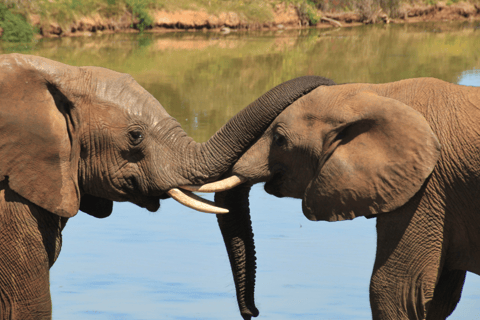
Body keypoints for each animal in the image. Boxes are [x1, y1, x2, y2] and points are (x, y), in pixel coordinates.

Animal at [194, 78, 480, 320]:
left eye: (279, 139)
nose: (252, 312)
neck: (380, 93)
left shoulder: (427, 191)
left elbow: (394, 292)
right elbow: (438, 299)